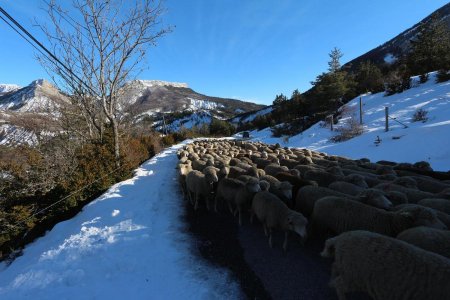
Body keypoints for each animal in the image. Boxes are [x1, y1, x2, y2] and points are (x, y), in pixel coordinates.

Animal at [320, 230, 450, 300]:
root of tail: (343, 236)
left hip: (345, 266)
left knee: (335, 267)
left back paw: (331, 281)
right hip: (354, 276)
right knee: (340, 284)